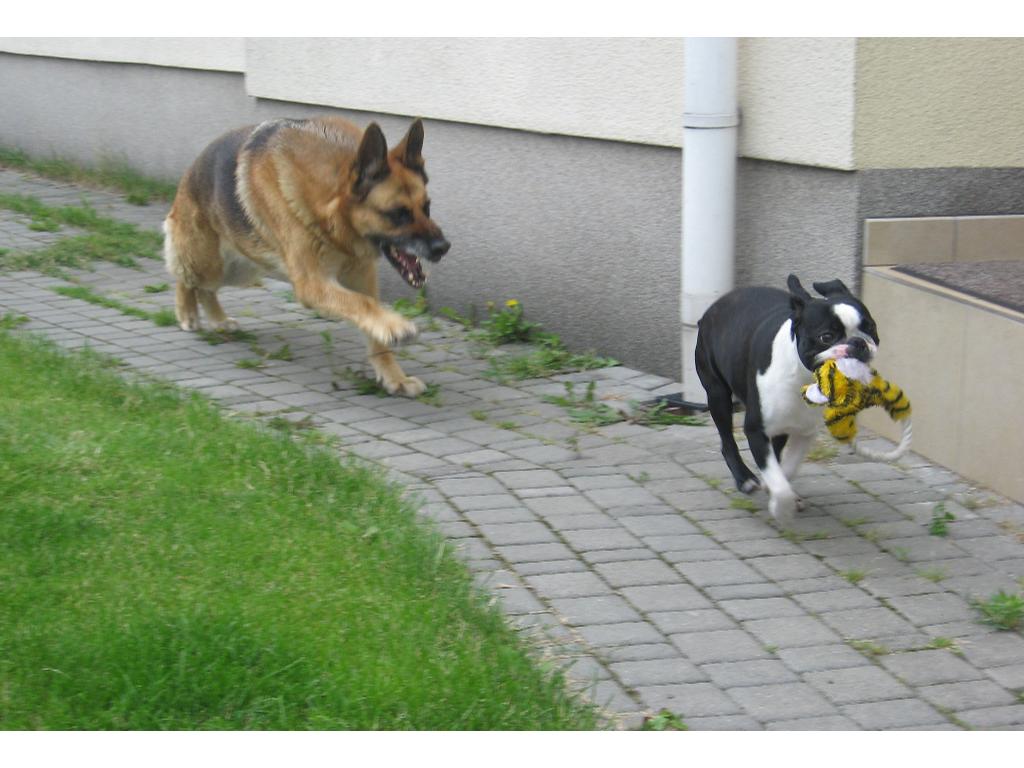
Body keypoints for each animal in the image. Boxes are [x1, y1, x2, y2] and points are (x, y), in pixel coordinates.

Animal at [162, 118, 448, 403]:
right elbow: (363, 304)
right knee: (186, 278)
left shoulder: (361, 275)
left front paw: (394, 377)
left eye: (426, 208)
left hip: (241, 267)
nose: (443, 248)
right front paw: (396, 326)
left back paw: (218, 319)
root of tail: (191, 171)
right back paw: (187, 313)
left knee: (206, 290)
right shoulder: (312, 284)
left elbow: (372, 317)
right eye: (398, 214)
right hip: (209, 263)